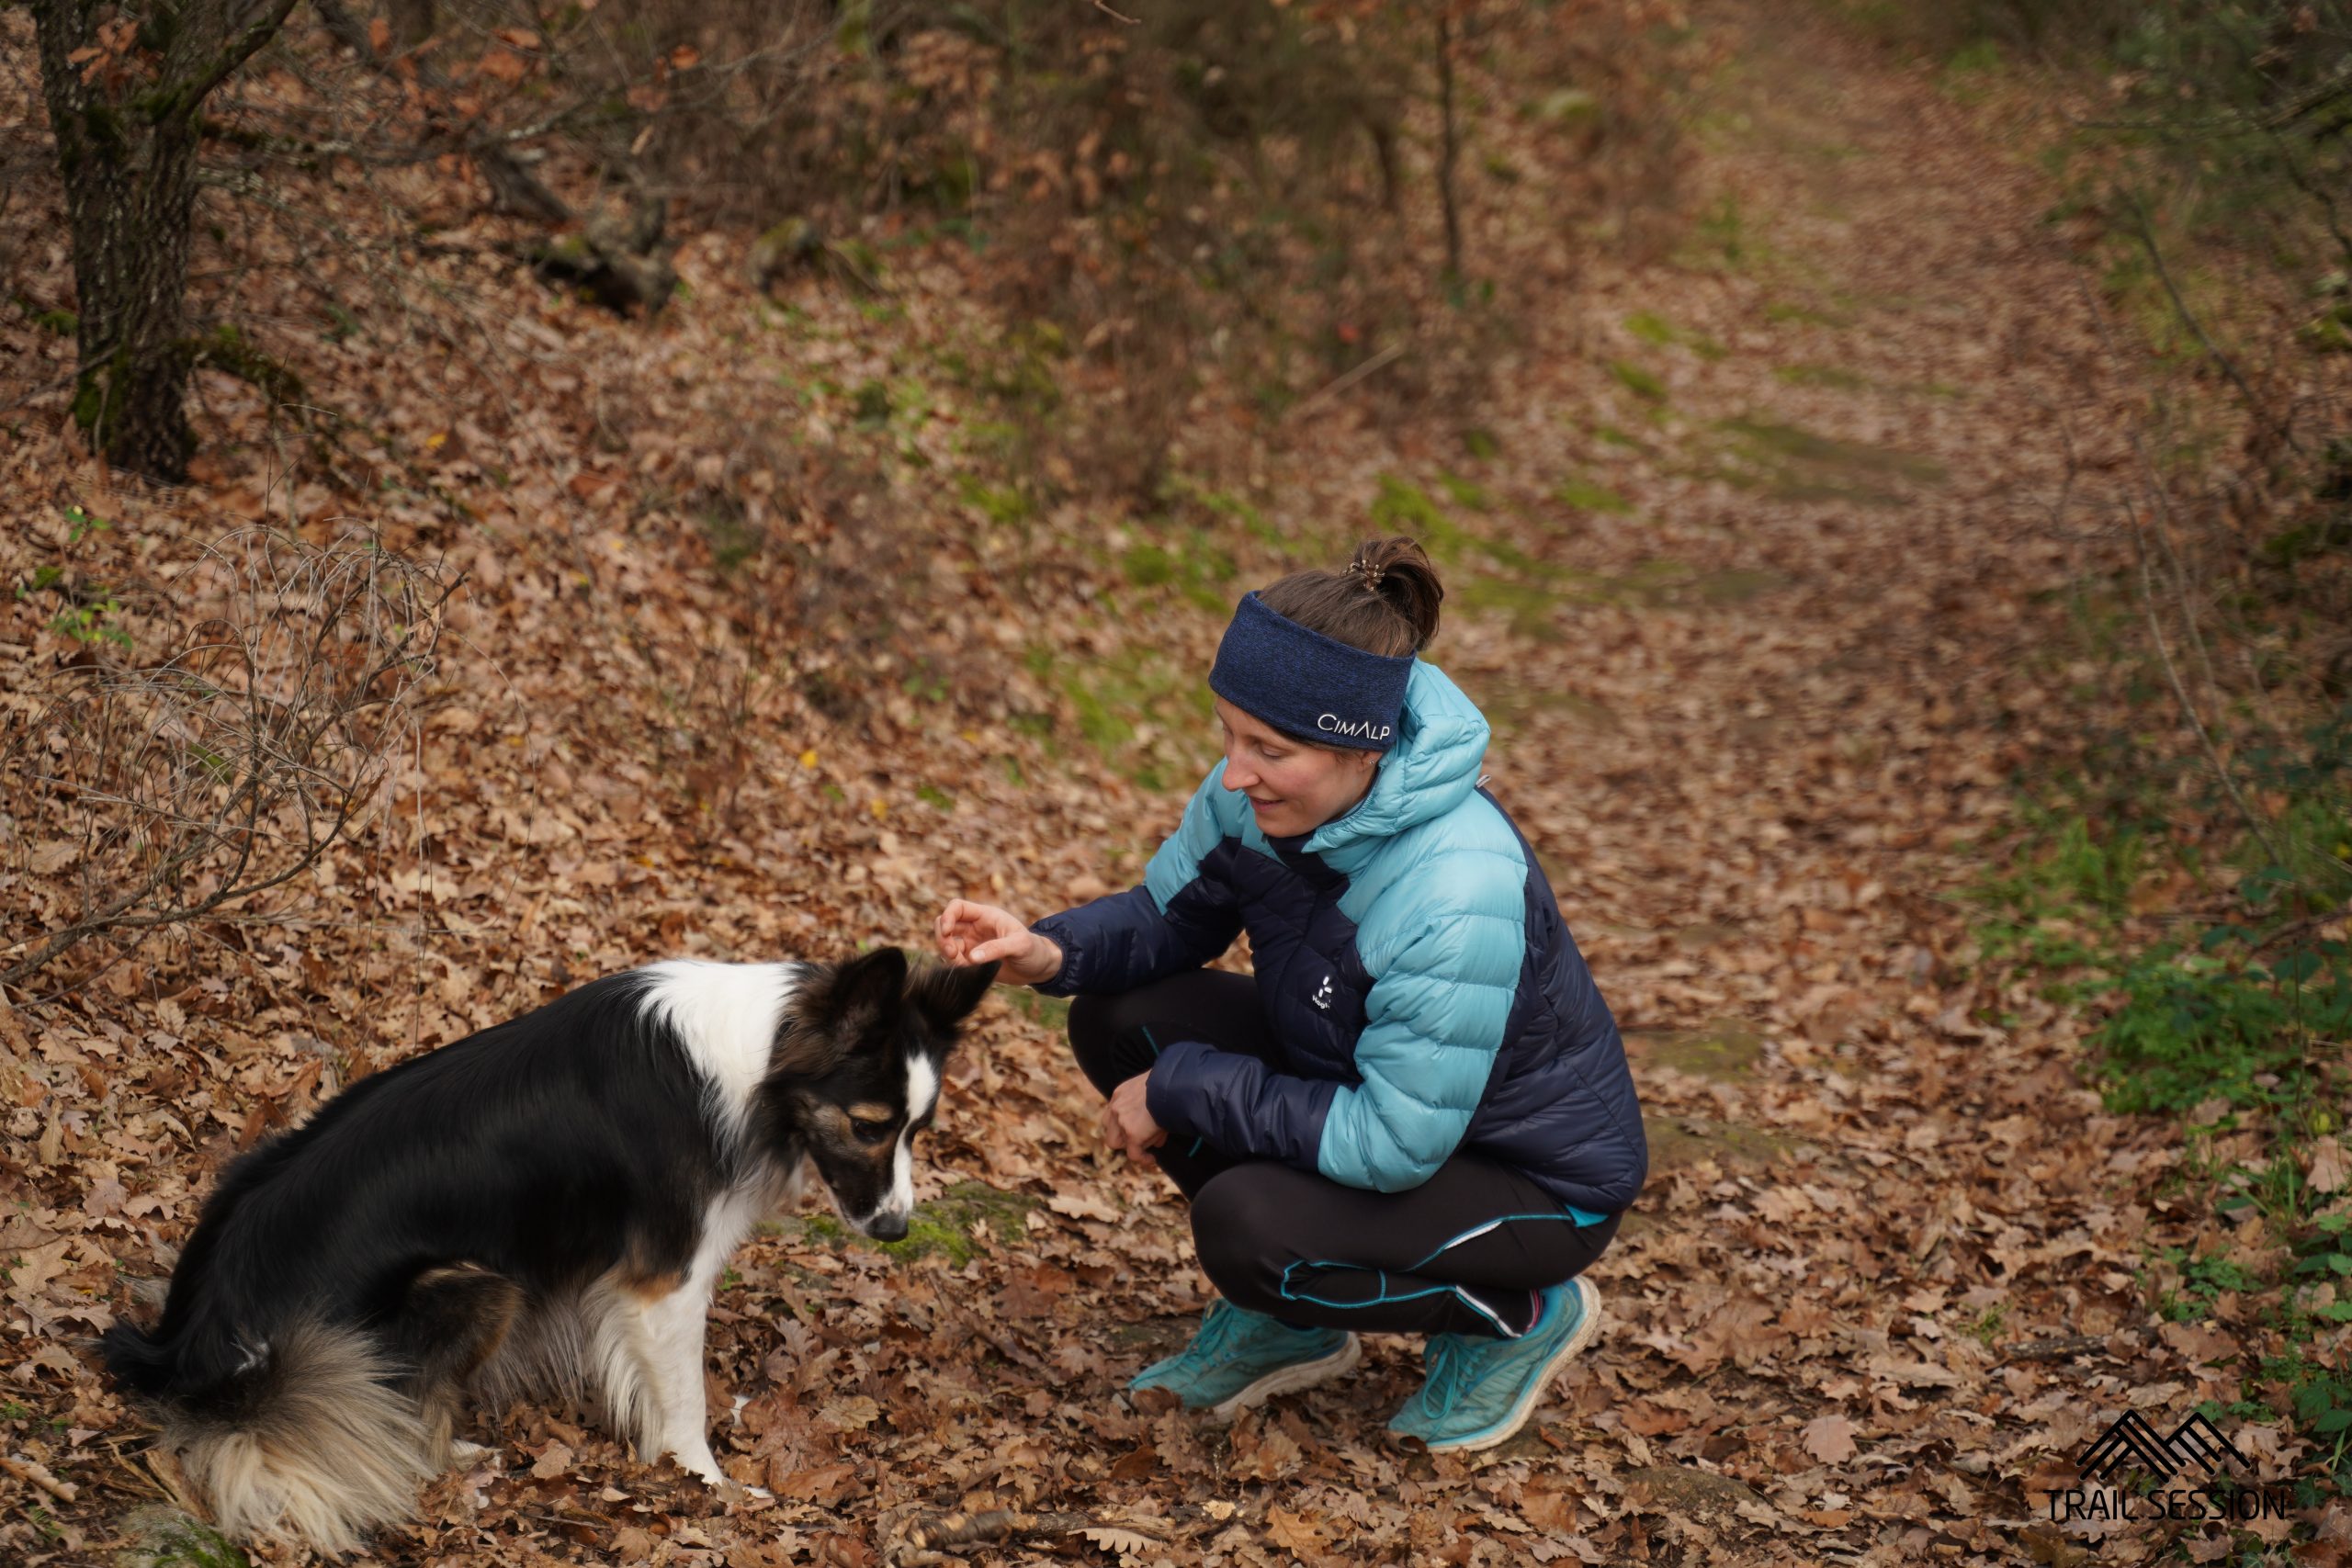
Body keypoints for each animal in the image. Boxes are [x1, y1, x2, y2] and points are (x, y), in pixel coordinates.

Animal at [94, 949, 983, 1551]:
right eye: (869, 1125)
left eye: (919, 1129)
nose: (897, 1230)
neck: (762, 1057)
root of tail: (201, 1353)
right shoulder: (667, 1281)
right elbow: (685, 1402)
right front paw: (711, 1486)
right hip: (474, 1283)